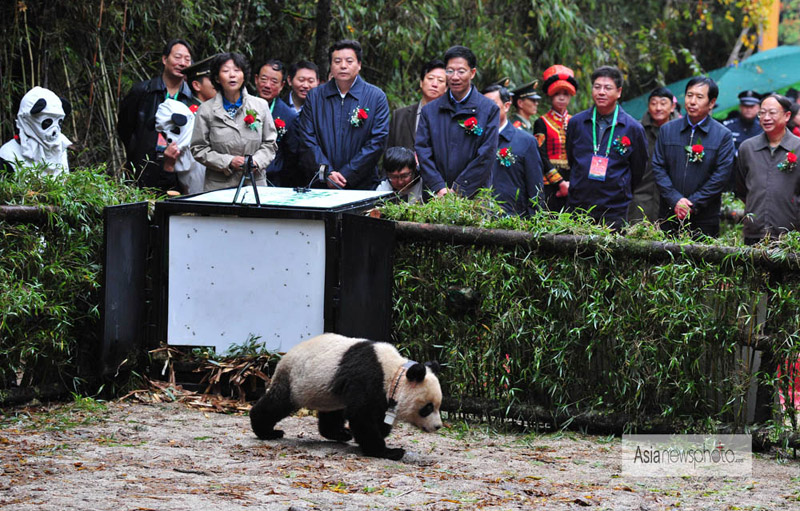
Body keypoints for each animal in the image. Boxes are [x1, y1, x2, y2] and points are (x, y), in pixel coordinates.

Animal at [248, 334, 440, 462]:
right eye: (428, 408)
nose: (437, 426)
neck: (395, 373)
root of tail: (283, 358)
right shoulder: (367, 377)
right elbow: (362, 416)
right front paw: (389, 451)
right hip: (296, 379)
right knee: (278, 402)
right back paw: (267, 431)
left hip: (328, 391)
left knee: (331, 413)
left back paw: (341, 433)